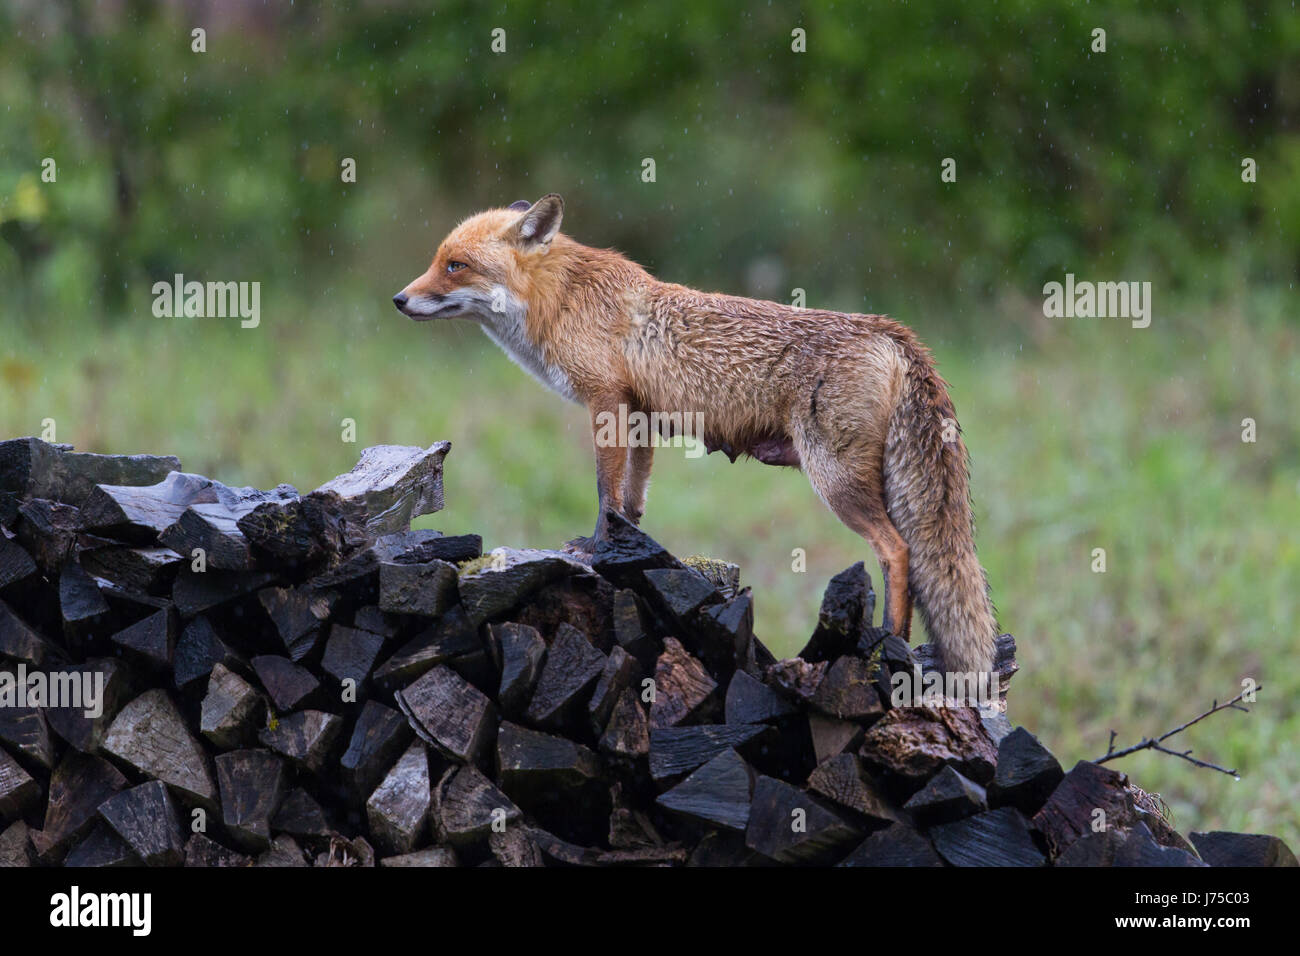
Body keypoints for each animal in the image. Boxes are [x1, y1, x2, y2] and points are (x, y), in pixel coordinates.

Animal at [395, 195, 993, 676]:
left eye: (455, 266)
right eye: (436, 261)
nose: (399, 300)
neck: (563, 301)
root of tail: (893, 331)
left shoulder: (606, 404)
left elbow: (604, 491)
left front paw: (595, 548)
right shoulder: (639, 417)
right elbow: (631, 501)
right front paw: (629, 550)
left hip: (836, 480)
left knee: (898, 551)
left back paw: (890, 640)